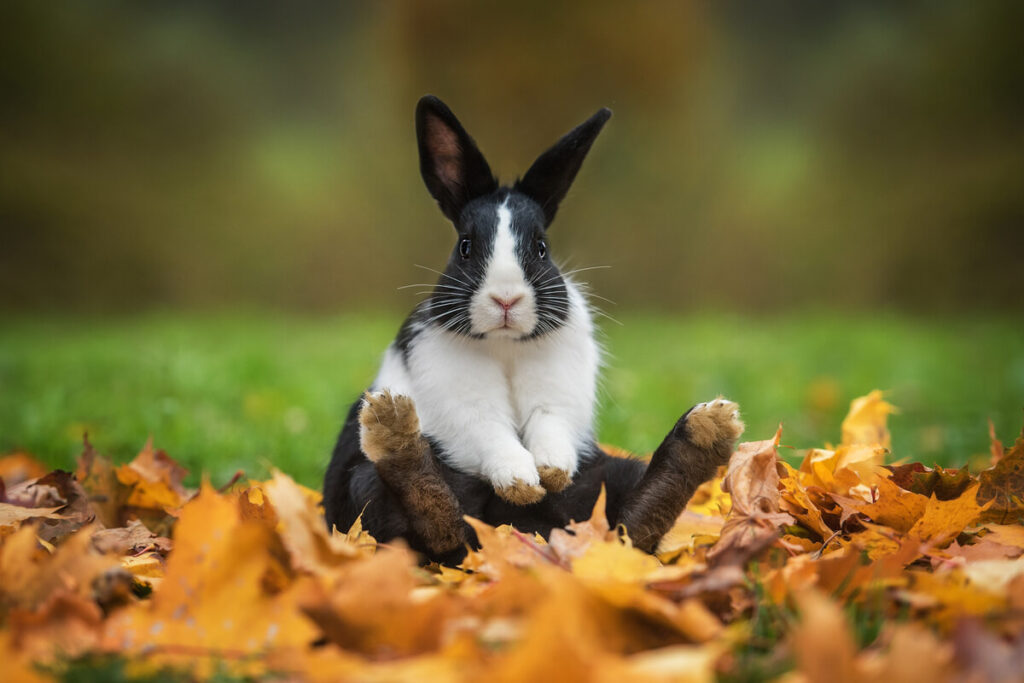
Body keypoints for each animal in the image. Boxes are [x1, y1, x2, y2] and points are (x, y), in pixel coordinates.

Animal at [321, 98, 745, 565]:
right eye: (465, 246)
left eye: (541, 248)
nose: (506, 299)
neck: (506, 346)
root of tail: (529, 533)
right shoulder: (462, 402)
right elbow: (490, 432)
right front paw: (522, 483)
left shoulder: (557, 396)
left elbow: (549, 424)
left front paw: (550, 473)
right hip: (365, 485)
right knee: (437, 526)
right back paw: (394, 429)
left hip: (610, 475)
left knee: (631, 526)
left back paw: (705, 432)